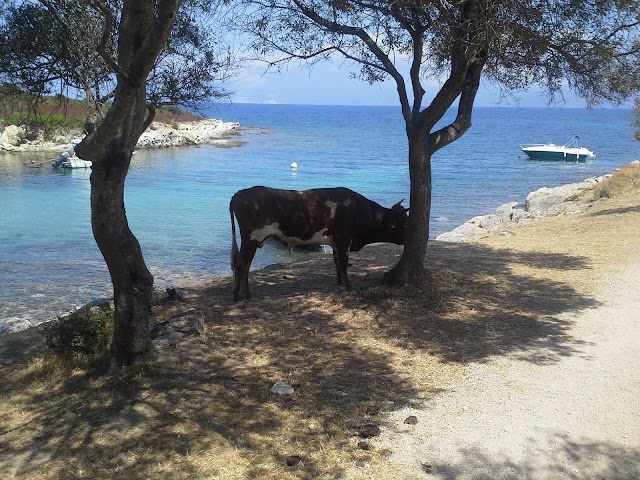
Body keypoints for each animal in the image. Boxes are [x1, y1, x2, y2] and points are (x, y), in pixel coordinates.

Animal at [230, 187, 410, 300]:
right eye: (405, 224)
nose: (408, 240)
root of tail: (239, 194)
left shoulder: (336, 242)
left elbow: (337, 262)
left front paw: (339, 282)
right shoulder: (344, 240)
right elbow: (344, 263)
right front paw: (348, 286)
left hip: (251, 241)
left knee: (242, 264)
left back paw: (242, 293)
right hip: (252, 239)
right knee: (242, 265)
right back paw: (240, 295)